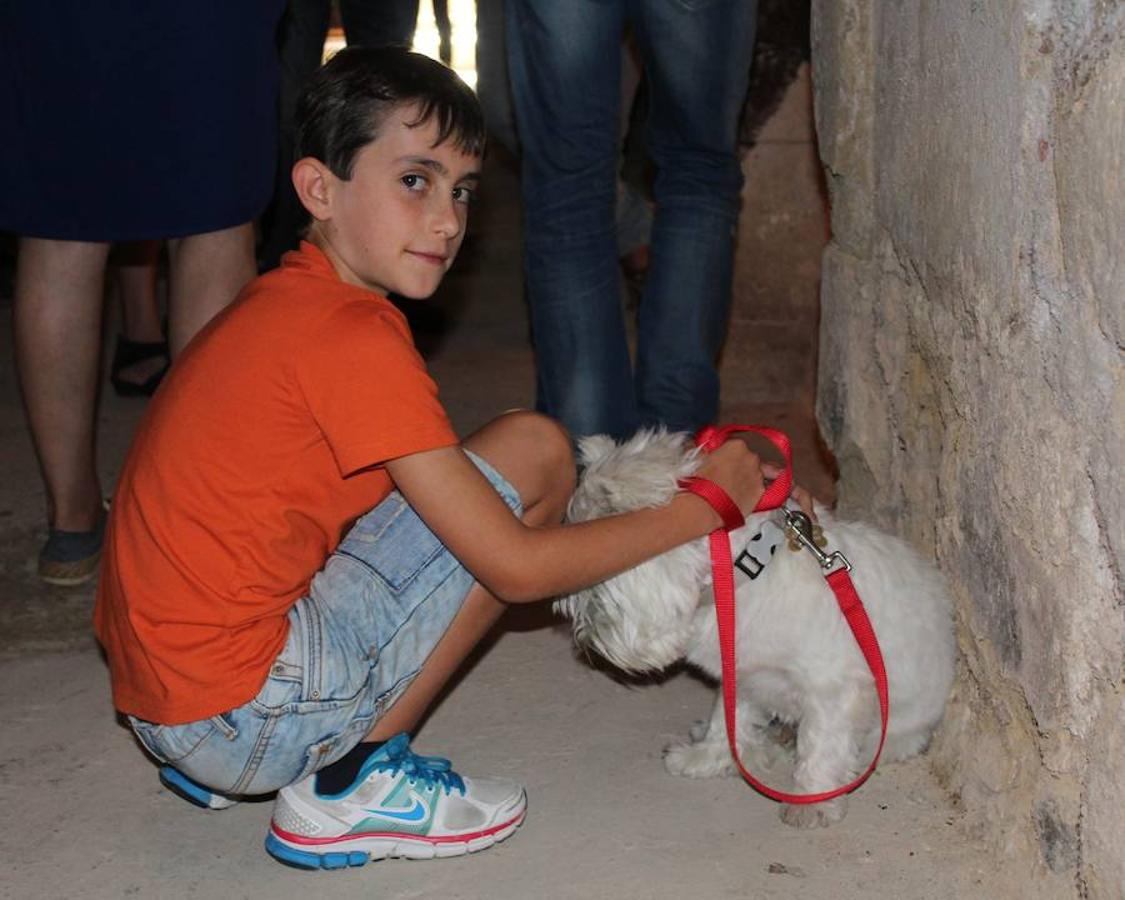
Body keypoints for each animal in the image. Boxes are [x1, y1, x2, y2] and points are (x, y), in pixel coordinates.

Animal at [558, 429, 954, 828]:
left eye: (596, 592)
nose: (587, 641)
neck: (741, 576)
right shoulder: (743, 673)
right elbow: (727, 720)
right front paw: (708, 756)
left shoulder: (835, 691)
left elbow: (822, 745)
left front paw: (812, 800)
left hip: (895, 727)